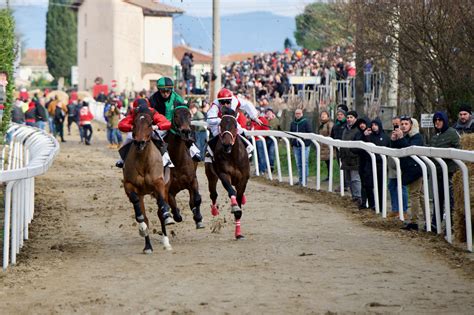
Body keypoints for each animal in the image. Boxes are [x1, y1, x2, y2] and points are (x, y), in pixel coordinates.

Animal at [122, 106, 174, 254]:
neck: (143, 161)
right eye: (134, 123)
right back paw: (148, 245)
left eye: (150, 124)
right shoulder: (129, 185)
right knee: (144, 214)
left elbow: (162, 204)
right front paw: (142, 227)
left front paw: (167, 215)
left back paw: (166, 241)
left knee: (161, 210)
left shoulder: (159, 183)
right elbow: (139, 210)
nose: (140, 142)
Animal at [205, 111, 250, 239]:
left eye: (235, 125)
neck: (233, 156)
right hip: (211, 175)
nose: (226, 144)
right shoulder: (224, 174)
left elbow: (239, 198)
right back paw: (214, 210)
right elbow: (231, 192)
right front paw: (234, 206)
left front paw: (238, 234)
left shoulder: (243, 179)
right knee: (213, 194)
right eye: (221, 125)